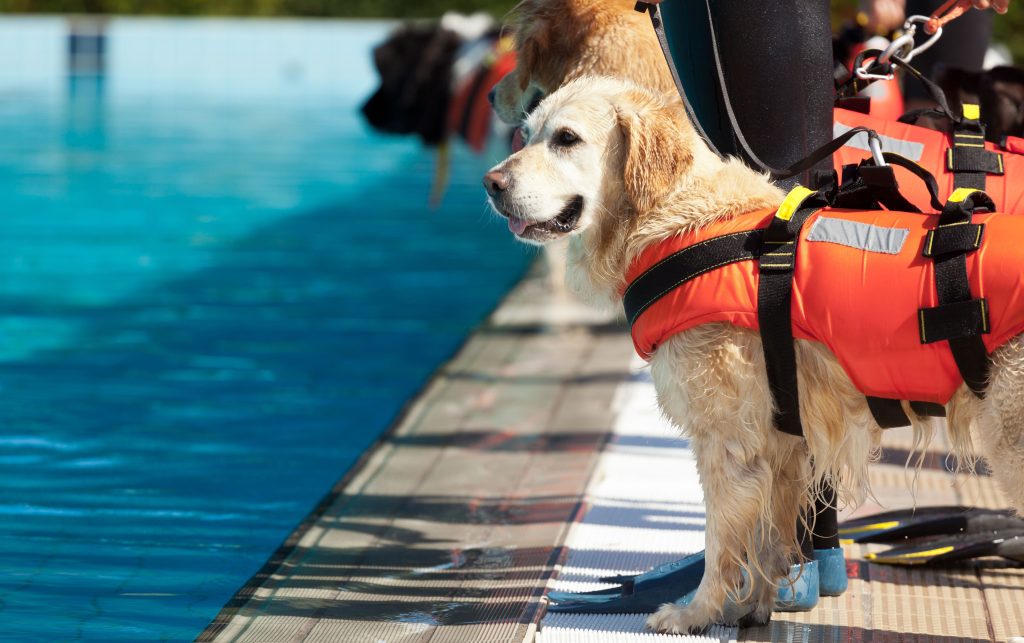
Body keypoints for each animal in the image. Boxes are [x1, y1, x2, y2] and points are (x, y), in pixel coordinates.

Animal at [479, 75, 1024, 634]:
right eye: (527, 133)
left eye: (567, 138)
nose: (491, 183)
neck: (673, 218)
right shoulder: (778, 441)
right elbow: (764, 539)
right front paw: (752, 605)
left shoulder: (726, 439)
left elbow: (720, 538)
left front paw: (695, 611)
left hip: (1010, 437)